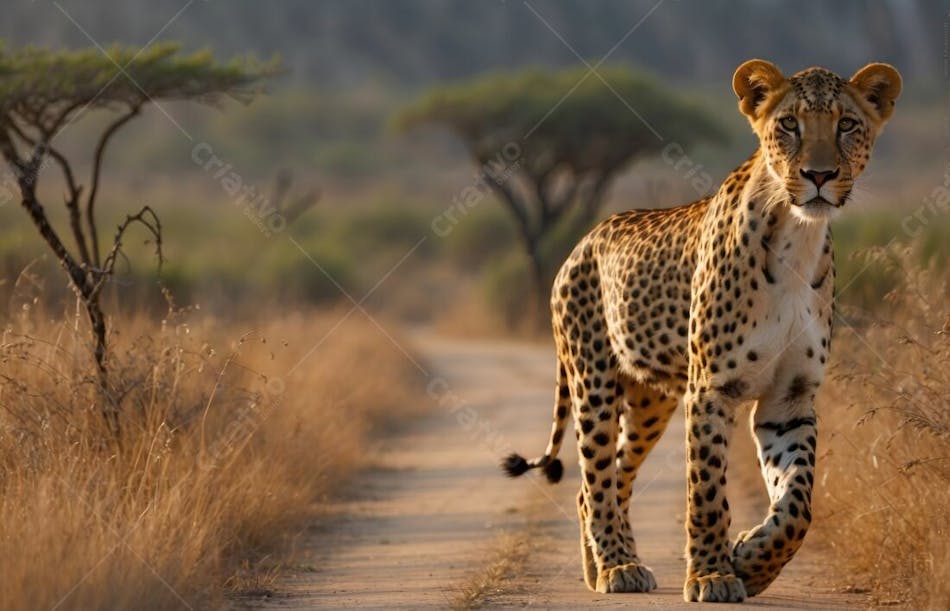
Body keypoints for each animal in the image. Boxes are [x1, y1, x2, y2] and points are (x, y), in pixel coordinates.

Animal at [502, 59, 901, 602]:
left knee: (605, 481)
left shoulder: (789, 400)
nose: (819, 175)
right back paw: (617, 566)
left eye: (846, 124)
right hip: (594, 384)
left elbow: (798, 503)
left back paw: (601, 565)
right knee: (598, 477)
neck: (798, 235)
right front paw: (712, 574)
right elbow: (707, 489)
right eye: (789, 124)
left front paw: (752, 560)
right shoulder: (711, 390)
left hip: (650, 403)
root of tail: (583, 240)